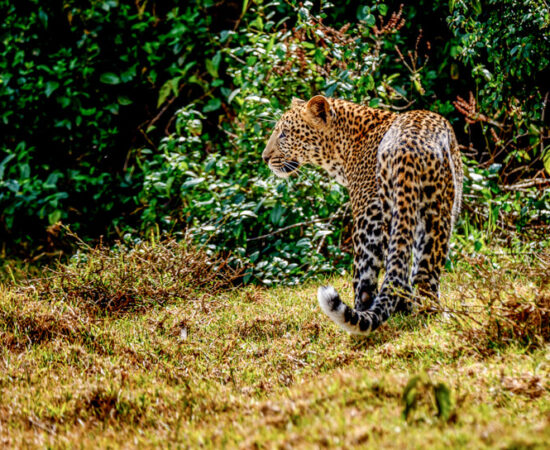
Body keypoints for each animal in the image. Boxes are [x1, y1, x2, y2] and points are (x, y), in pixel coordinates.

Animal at [264, 95, 466, 334]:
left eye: (284, 134)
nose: (264, 157)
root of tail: (407, 151)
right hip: (427, 214)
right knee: (416, 271)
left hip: (382, 218)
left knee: (370, 277)